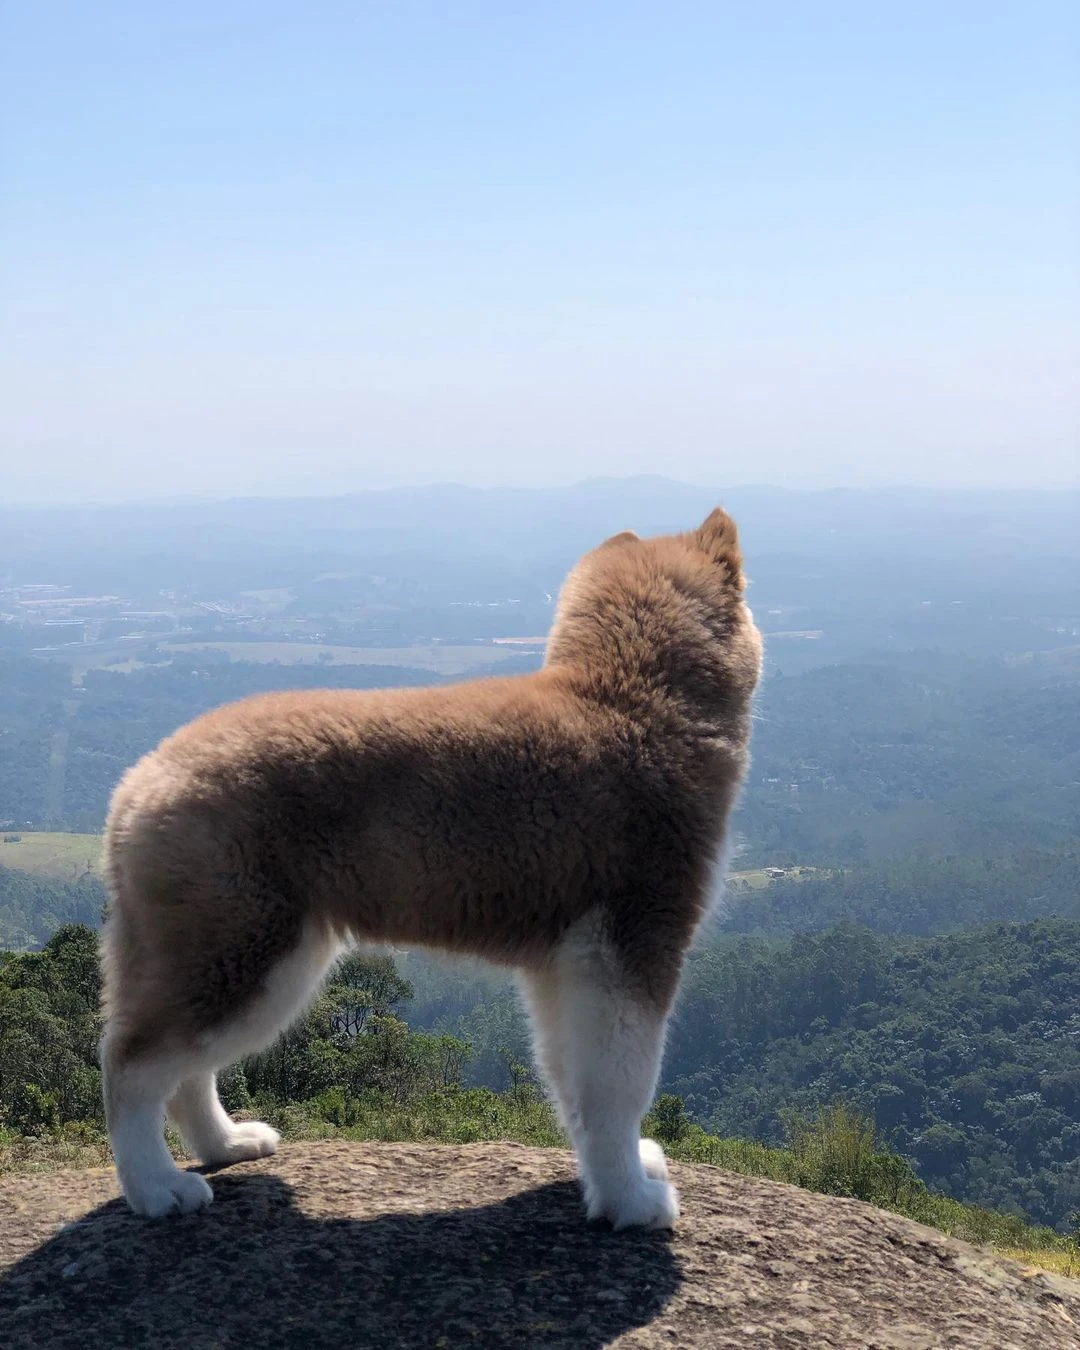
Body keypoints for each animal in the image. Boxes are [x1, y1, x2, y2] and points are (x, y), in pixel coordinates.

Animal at [99, 507, 761, 1225]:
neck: (632, 699)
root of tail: (139, 780)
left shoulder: (569, 962)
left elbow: (574, 1084)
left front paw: (615, 1175)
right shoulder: (633, 942)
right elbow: (621, 1085)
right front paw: (633, 1200)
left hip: (242, 959)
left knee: (184, 1069)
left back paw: (224, 1144)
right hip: (243, 954)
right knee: (130, 1066)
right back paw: (156, 1186)